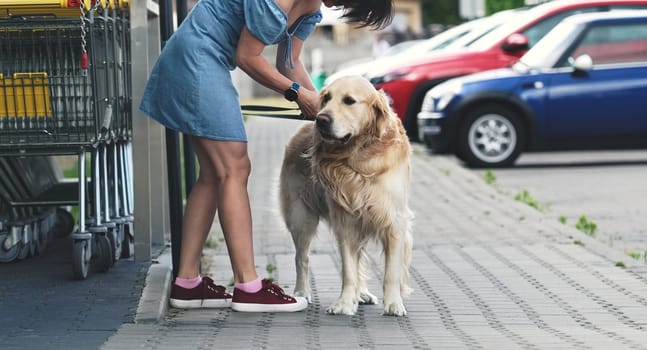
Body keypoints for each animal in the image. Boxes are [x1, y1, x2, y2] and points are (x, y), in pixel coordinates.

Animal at [280, 75, 412, 316]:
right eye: (326, 98)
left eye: (349, 100)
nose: (321, 119)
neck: (357, 157)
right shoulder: (346, 220)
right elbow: (349, 269)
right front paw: (344, 303)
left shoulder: (394, 221)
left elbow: (391, 271)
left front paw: (393, 303)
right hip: (301, 216)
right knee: (301, 257)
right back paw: (302, 292)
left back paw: (363, 294)